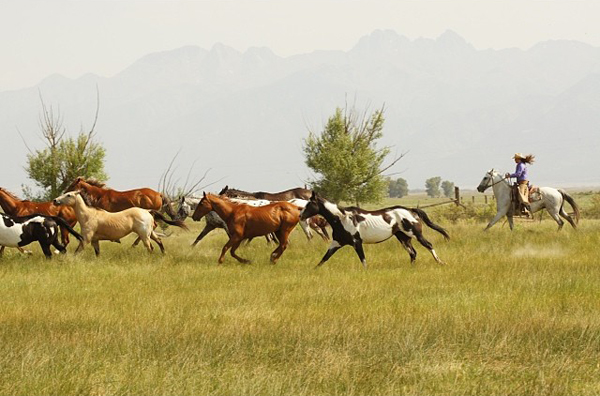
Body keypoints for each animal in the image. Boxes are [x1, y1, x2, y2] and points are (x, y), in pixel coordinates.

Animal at [53, 192, 188, 256]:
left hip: (144, 235)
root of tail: (147, 211)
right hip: (150, 233)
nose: (55, 200)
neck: (89, 215)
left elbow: (77, 251)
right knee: (159, 242)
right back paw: (164, 255)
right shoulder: (94, 240)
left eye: (68, 195)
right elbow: (97, 253)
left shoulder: (86, 239)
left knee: (150, 247)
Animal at [300, 193, 450, 270]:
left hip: (415, 234)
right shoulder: (336, 243)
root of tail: (411, 210)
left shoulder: (356, 242)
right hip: (403, 238)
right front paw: (313, 271)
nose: (300, 215)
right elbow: (324, 258)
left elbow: (363, 260)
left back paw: (440, 262)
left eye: (309, 204)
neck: (342, 219)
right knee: (413, 253)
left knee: (428, 245)